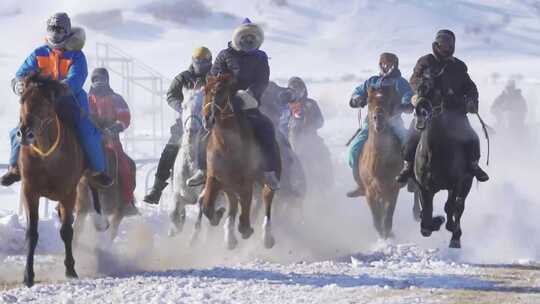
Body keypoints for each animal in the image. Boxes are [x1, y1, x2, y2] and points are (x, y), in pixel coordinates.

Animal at [16, 74, 107, 288]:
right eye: (22, 99)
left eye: (45, 102)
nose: (25, 133)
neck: (46, 155)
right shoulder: (30, 191)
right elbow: (32, 233)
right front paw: (28, 275)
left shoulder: (68, 193)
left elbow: (66, 231)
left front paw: (70, 269)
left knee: (93, 183)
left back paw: (99, 219)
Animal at [200, 73, 280, 249]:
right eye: (205, 90)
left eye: (221, 91)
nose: (208, 119)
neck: (226, 146)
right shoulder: (214, 178)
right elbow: (207, 207)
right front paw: (219, 213)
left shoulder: (246, 181)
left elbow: (245, 215)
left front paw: (246, 229)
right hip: (229, 186)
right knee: (233, 204)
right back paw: (230, 237)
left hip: (266, 179)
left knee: (266, 197)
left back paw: (267, 237)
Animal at [356, 86, 402, 240]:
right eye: (368, 100)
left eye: (389, 101)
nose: (378, 118)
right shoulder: (370, 193)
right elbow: (376, 219)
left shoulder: (393, 190)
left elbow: (387, 217)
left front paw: (387, 234)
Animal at [412, 70, 474, 248]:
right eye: (418, 89)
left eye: (437, 92)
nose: (421, 111)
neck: (436, 153)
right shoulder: (424, 187)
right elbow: (426, 218)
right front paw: (435, 222)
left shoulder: (456, 184)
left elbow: (450, 207)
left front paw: (448, 226)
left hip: (467, 182)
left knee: (459, 206)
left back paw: (455, 237)